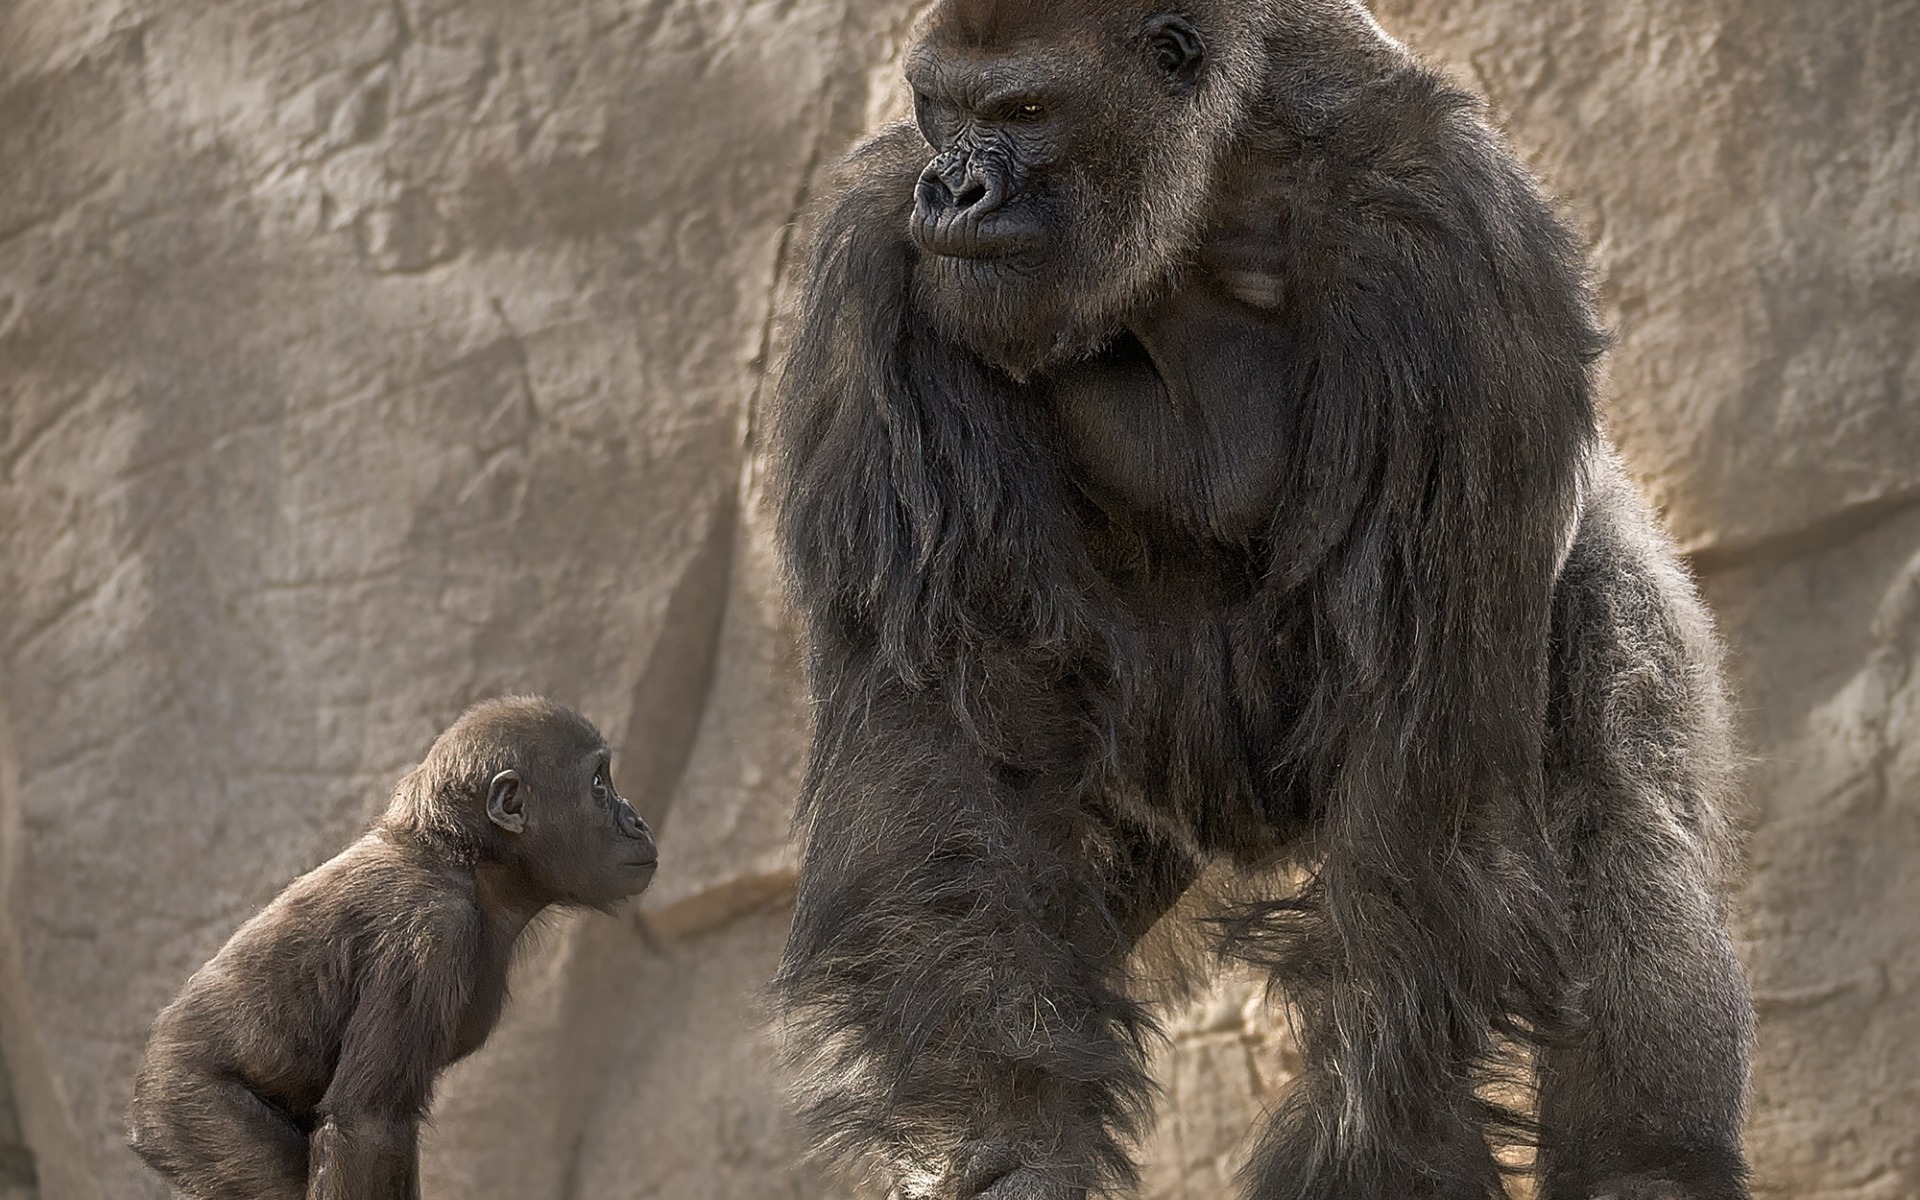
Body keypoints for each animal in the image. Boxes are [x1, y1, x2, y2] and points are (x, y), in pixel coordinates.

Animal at [126, 696, 658, 1200]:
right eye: (598, 784)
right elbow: (366, 1127)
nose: (637, 821)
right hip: (183, 1109)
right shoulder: (430, 935)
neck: (463, 858)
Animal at [767, 2, 1754, 1199]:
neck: (1214, 195)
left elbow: (1418, 826)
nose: (953, 188)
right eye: (938, 108)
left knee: (1612, 777)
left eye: (1025, 111)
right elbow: (946, 756)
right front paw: (1012, 1139)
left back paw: (1649, 1163)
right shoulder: (881, 254)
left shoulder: (1450, 243)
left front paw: (1366, 1153)